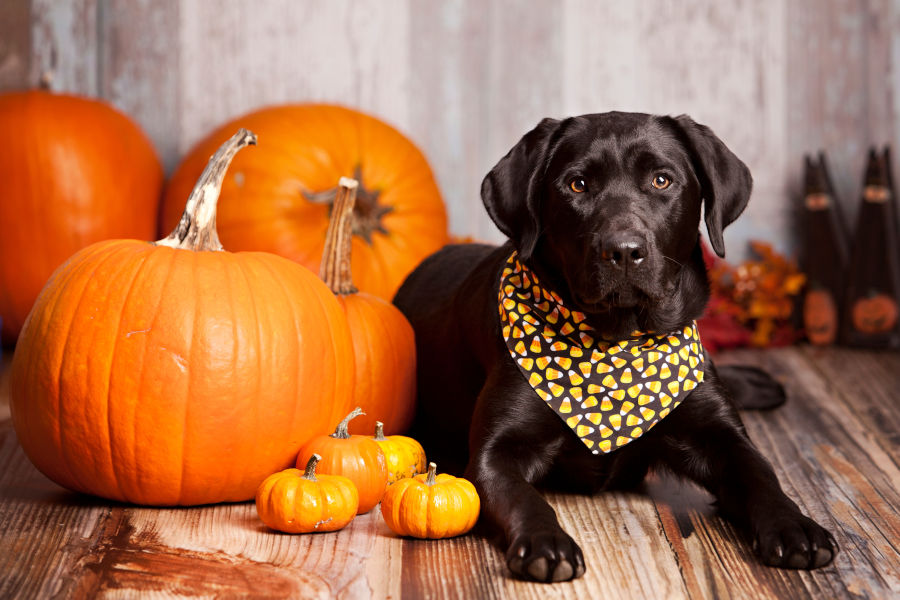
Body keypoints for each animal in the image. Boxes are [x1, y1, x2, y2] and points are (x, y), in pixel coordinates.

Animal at [394, 111, 836, 580]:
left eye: (661, 180)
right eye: (577, 185)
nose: (623, 251)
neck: (618, 345)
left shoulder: (721, 436)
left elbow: (761, 474)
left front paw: (795, 525)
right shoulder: (493, 454)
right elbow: (524, 497)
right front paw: (546, 541)